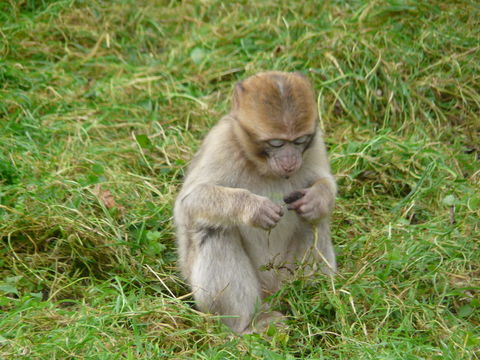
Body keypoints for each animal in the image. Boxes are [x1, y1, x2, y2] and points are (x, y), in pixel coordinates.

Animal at [174, 70, 336, 334]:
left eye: (299, 141)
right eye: (276, 143)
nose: (290, 161)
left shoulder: (316, 143)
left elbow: (325, 181)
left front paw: (316, 199)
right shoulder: (222, 142)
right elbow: (189, 203)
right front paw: (254, 209)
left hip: (284, 275)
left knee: (314, 222)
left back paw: (314, 302)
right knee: (213, 229)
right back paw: (247, 326)